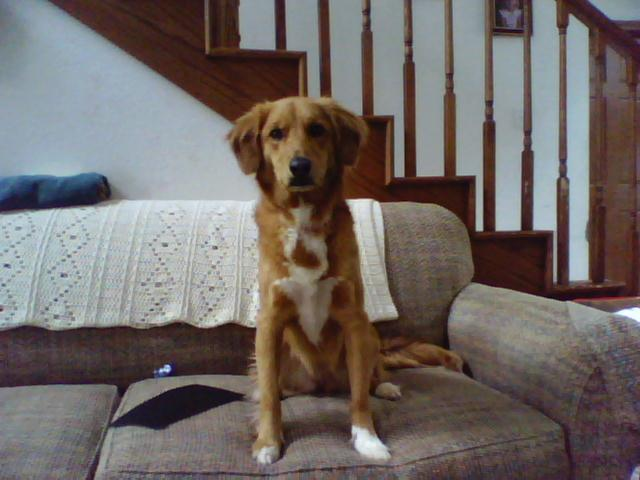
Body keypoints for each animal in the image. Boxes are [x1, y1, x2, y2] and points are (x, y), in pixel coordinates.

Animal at [228, 95, 462, 464]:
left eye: (317, 129)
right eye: (276, 133)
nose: (300, 166)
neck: (304, 220)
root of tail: (322, 386)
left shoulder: (353, 318)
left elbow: (359, 397)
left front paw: (367, 439)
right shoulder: (270, 321)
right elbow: (268, 395)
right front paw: (268, 442)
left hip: (369, 335)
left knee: (371, 376)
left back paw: (385, 385)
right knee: (275, 385)